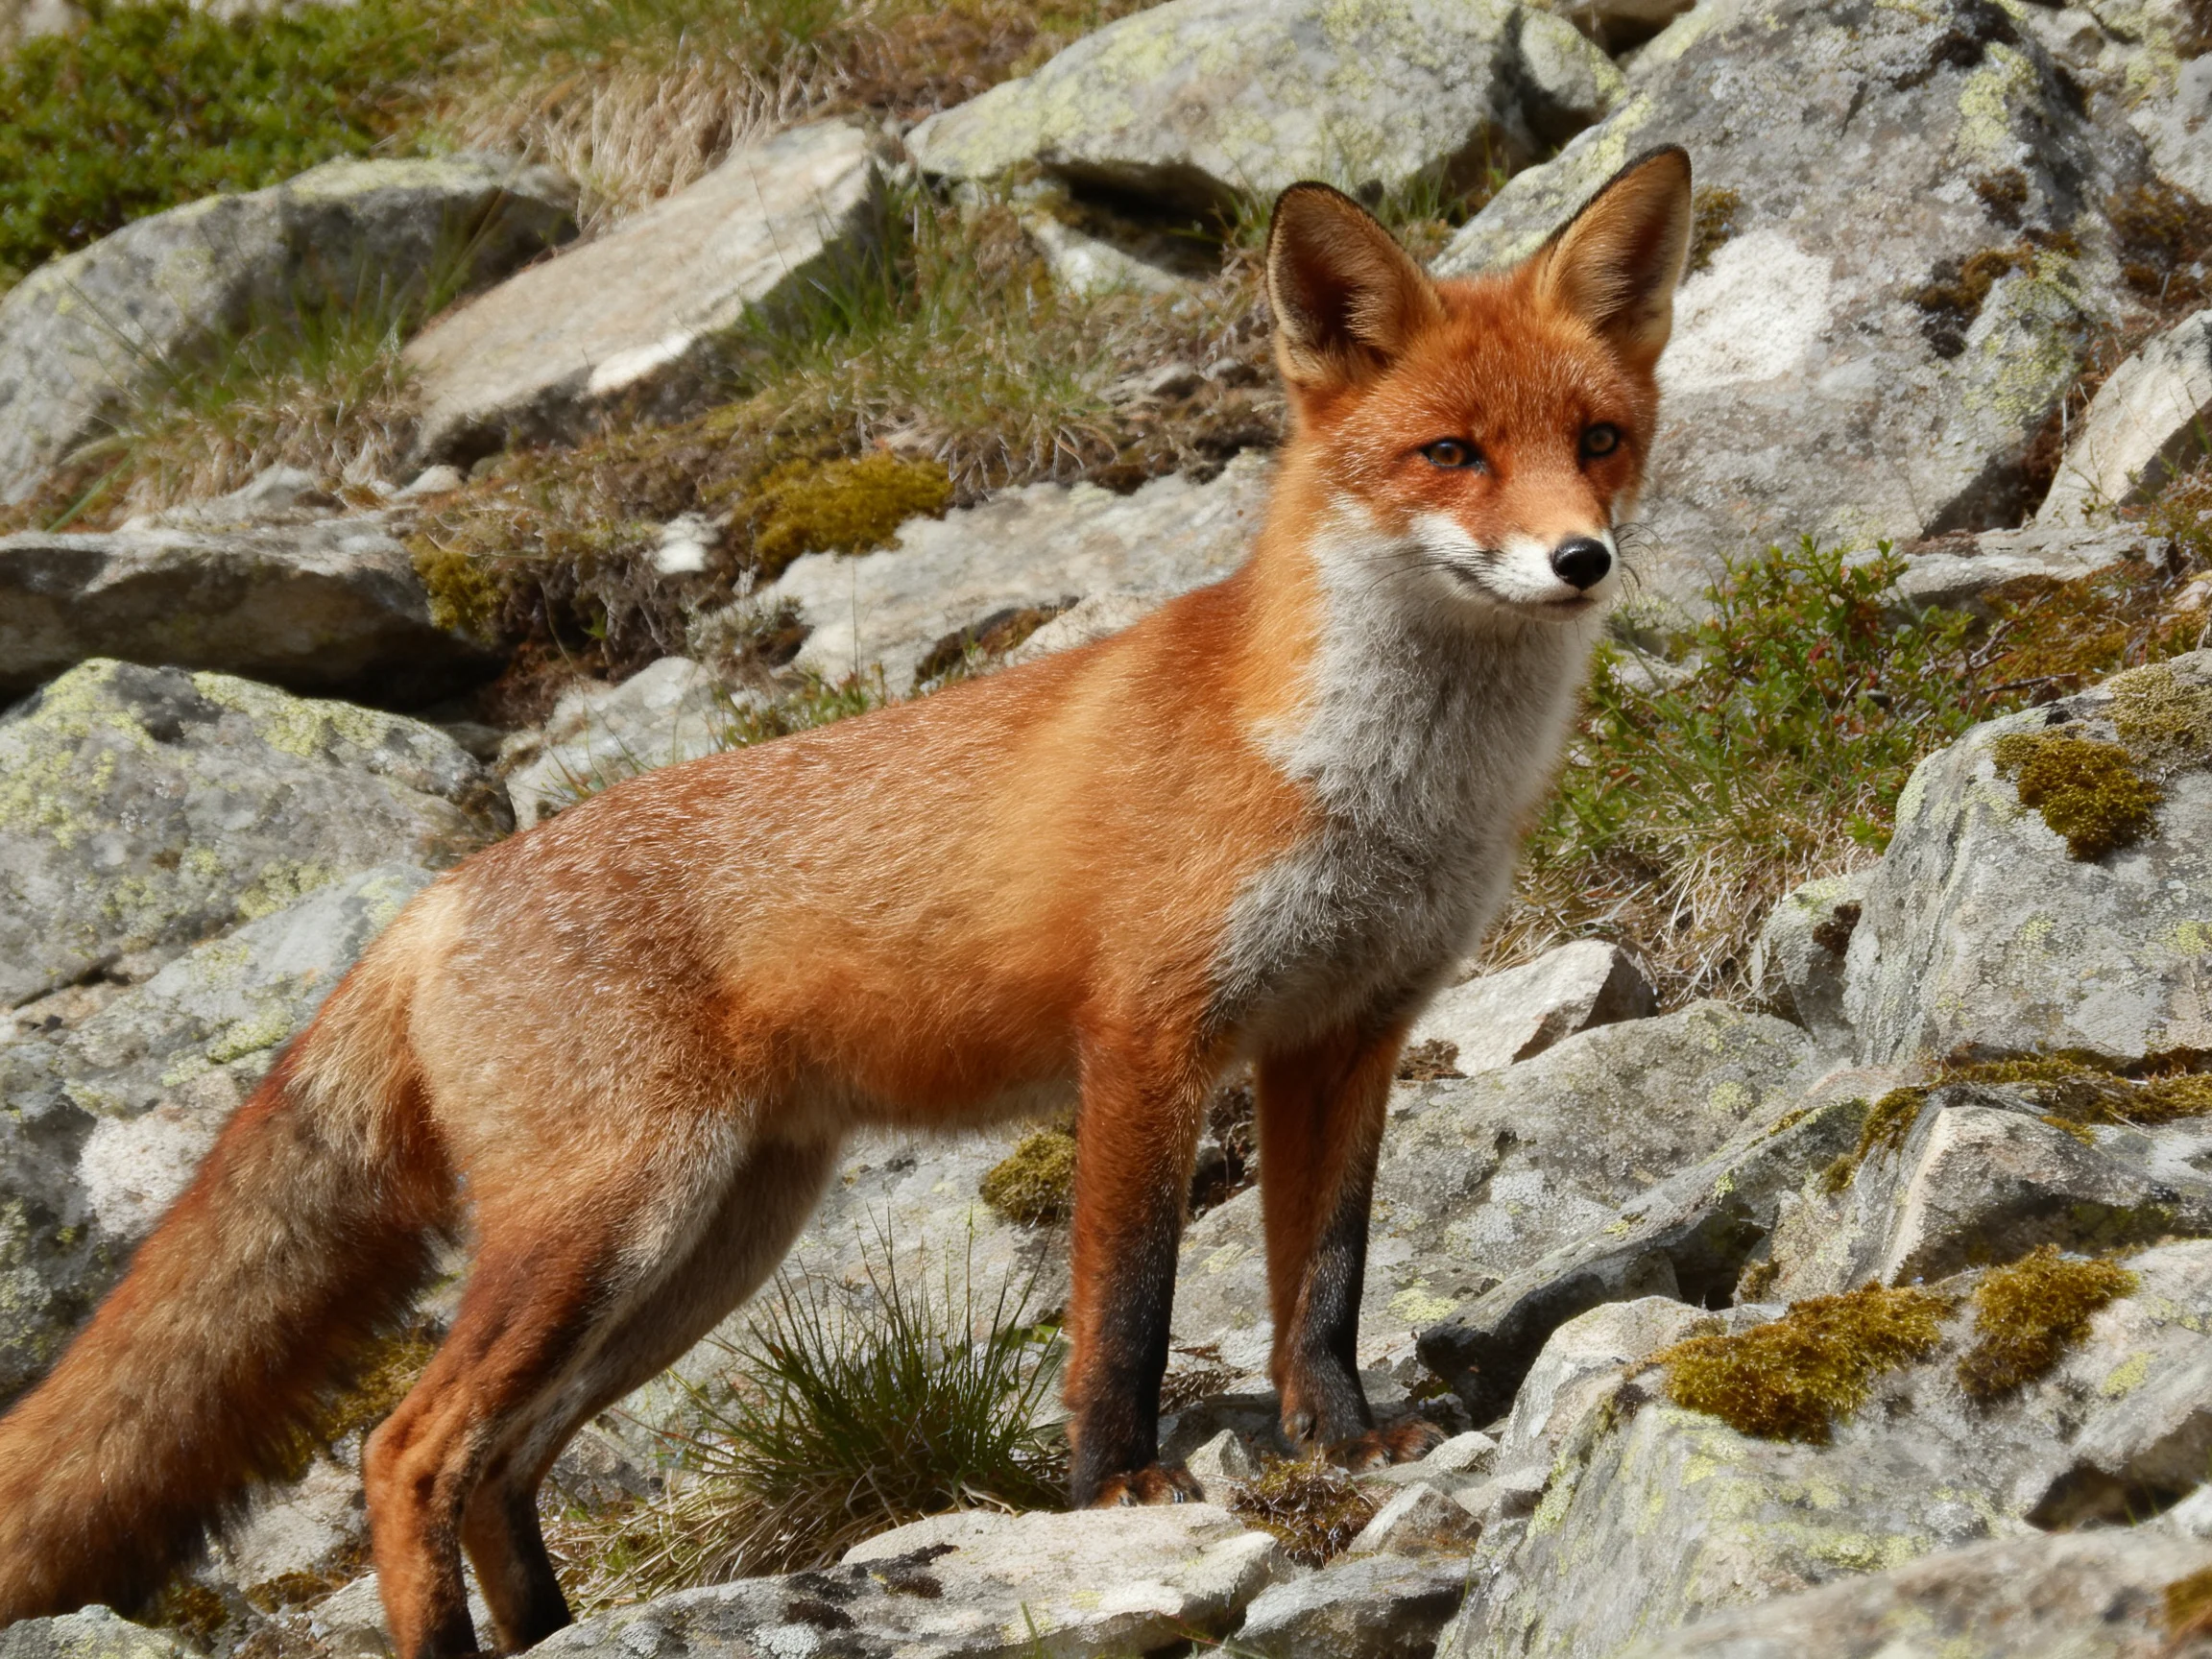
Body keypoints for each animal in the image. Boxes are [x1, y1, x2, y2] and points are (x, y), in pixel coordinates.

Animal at [0, 147, 1692, 1656]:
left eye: (1599, 437)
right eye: (1452, 454)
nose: (1580, 558)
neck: (1375, 786)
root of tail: (441, 898)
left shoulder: (1346, 1036)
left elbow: (1320, 1287)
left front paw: (1342, 1443)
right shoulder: (1146, 1040)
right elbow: (1124, 1310)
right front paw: (1117, 1491)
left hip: (702, 1249)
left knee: (499, 1463)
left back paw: (561, 1632)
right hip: (612, 1221)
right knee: (409, 1448)